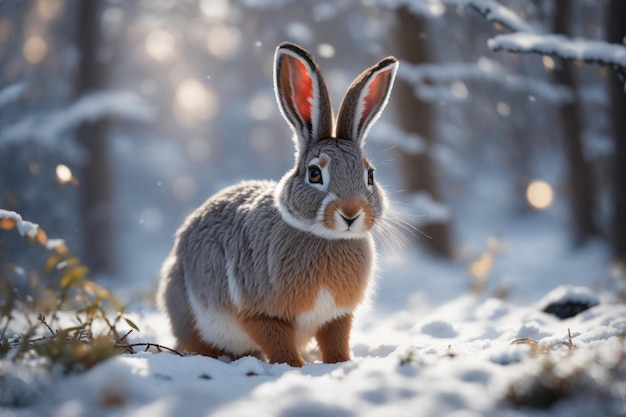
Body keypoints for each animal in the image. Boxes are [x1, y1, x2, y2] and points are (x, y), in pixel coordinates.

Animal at [158, 41, 398, 368]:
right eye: (314, 173)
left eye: (370, 175)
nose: (350, 213)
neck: (325, 237)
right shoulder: (261, 312)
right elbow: (277, 342)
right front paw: (295, 367)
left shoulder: (336, 315)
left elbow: (335, 339)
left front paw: (340, 363)